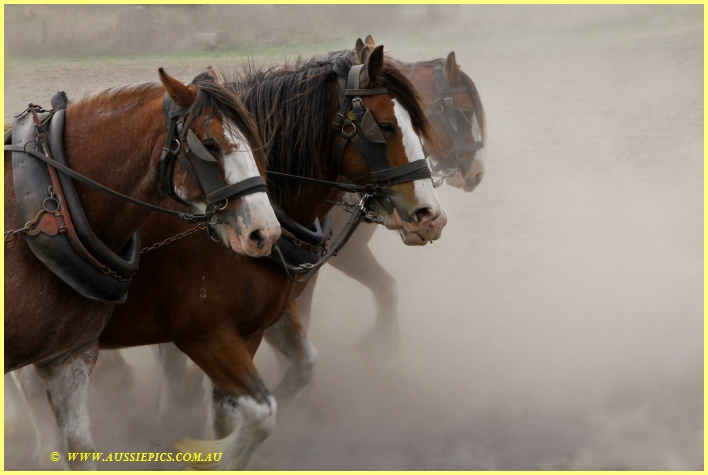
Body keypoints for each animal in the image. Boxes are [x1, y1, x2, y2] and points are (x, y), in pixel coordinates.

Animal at [3, 67, 280, 468]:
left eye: (254, 139)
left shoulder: (67, 356)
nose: (265, 231)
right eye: (209, 145)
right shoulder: (210, 333)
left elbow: (80, 449)